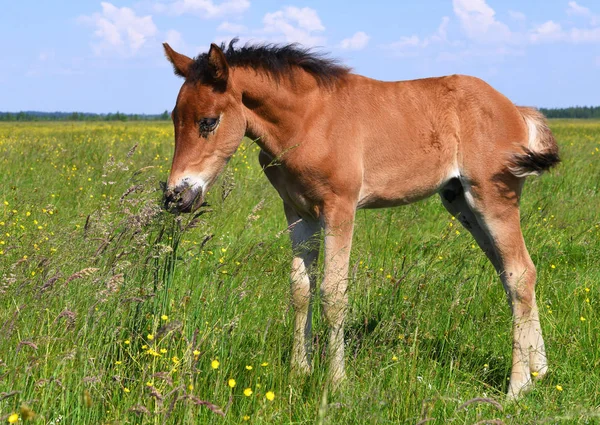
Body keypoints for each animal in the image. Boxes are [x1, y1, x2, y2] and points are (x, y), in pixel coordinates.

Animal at [163, 39, 556, 398]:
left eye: (208, 121)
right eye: (174, 119)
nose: (176, 197)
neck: (309, 122)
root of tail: (515, 109)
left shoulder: (339, 209)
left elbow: (333, 293)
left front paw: (336, 383)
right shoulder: (298, 212)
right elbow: (300, 289)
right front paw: (300, 372)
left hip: (493, 199)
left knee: (520, 273)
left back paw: (517, 387)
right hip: (461, 203)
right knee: (510, 274)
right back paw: (540, 371)